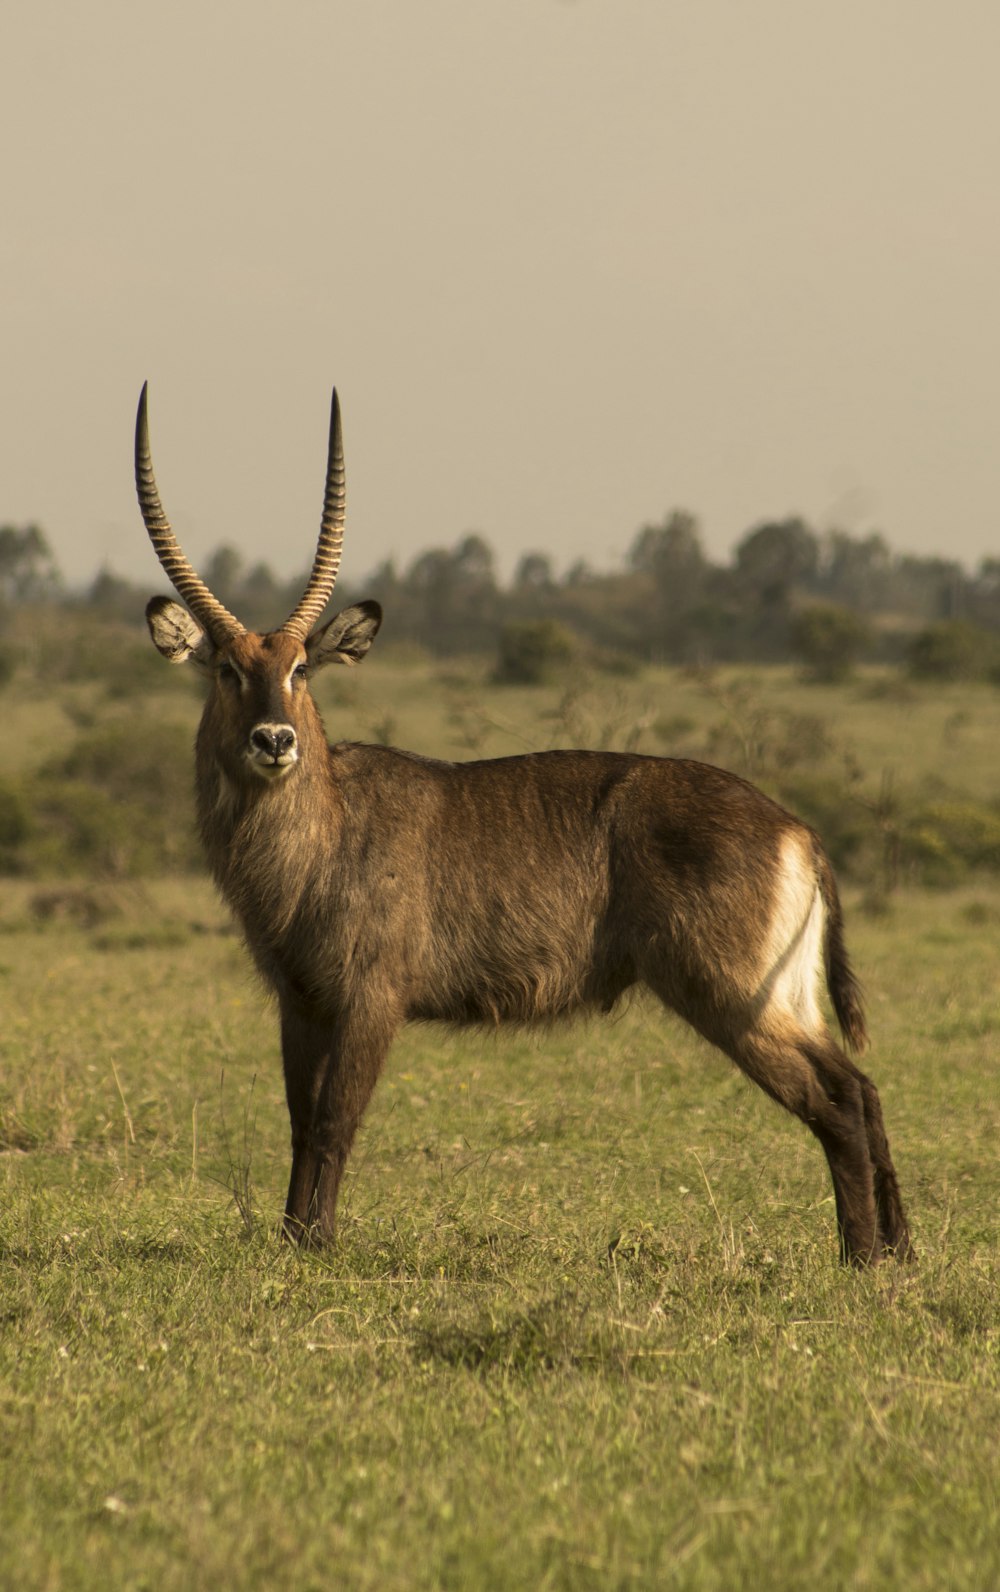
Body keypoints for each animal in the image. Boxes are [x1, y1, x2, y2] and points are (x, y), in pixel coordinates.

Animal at [136, 378, 910, 1260]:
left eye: (301, 668)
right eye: (228, 670)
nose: (275, 740)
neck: (325, 831)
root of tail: (798, 830)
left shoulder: (370, 997)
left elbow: (335, 1120)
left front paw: (319, 1245)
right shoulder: (299, 1001)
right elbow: (300, 1123)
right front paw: (293, 1237)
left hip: (732, 994)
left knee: (836, 1105)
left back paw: (860, 1257)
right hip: (783, 996)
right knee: (862, 1087)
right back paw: (900, 1248)